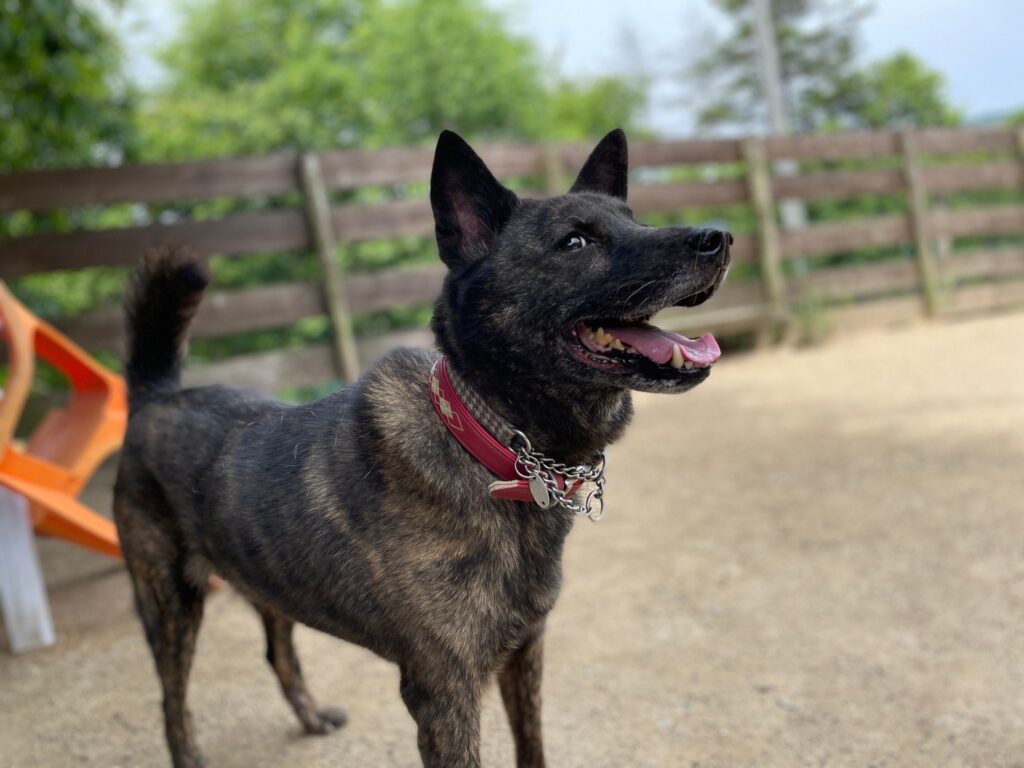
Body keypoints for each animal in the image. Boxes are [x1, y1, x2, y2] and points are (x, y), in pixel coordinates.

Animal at [114, 128, 731, 768]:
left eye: (635, 221)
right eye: (575, 241)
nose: (719, 237)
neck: (493, 446)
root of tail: (156, 394)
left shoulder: (525, 652)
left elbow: (532, 746)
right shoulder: (443, 693)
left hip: (263, 579)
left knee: (277, 651)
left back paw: (310, 716)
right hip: (170, 605)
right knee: (171, 698)